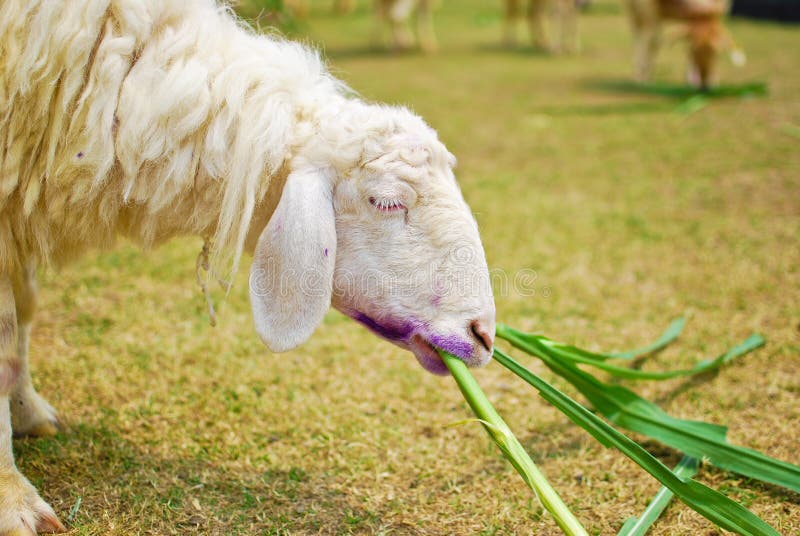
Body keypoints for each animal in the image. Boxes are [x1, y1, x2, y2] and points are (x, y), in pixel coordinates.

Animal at [0, 0, 496, 532]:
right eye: (385, 202)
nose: (483, 335)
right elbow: (7, 344)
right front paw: (14, 501)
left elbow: (24, 317)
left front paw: (29, 413)